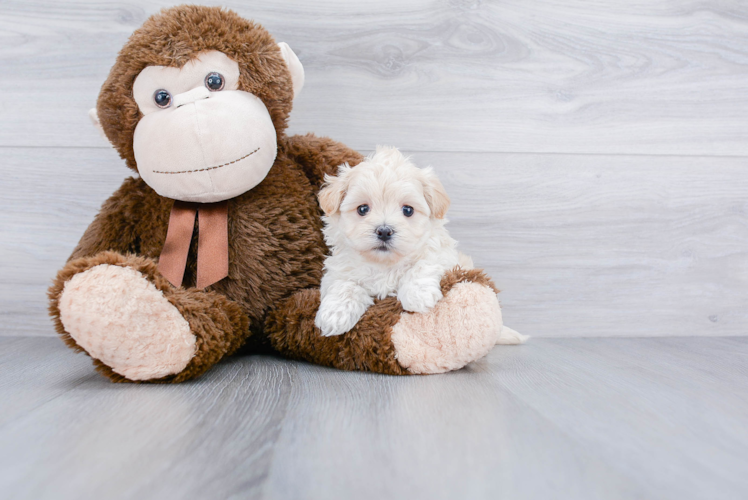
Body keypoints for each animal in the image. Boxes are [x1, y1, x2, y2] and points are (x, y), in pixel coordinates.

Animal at [312, 146, 468, 338]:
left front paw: (418, 295)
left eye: (408, 210)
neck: (384, 265)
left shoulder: (445, 256)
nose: (384, 231)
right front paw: (335, 314)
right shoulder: (337, 271)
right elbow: (345, 284)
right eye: (362, 209)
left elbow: (424, 263)